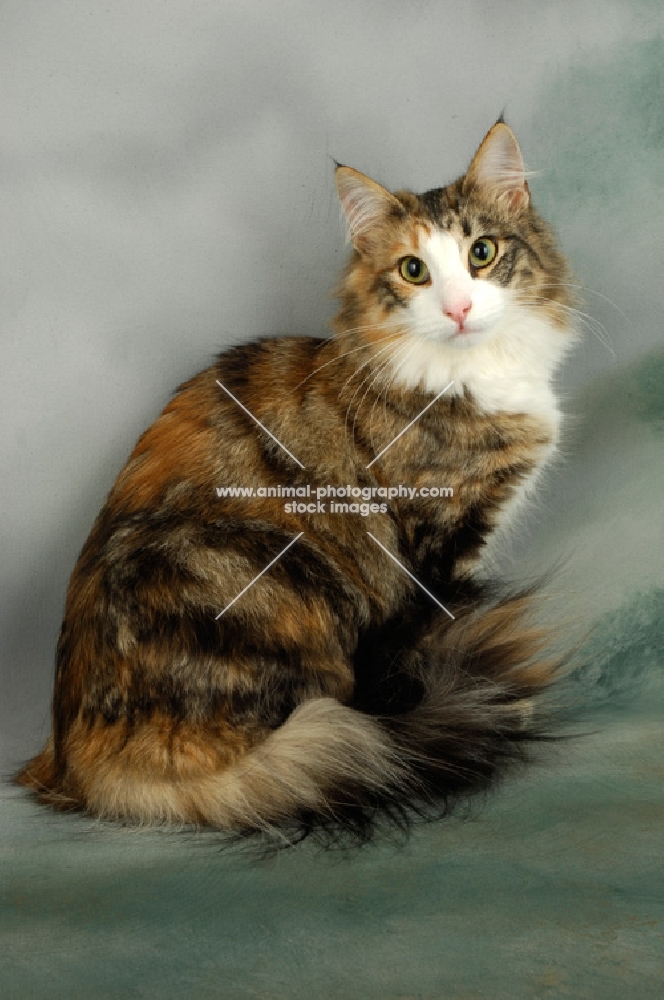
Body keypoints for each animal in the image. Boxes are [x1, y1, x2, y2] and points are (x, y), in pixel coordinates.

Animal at [15, 123, 576, 844]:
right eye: (413, 270)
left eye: (482, 253)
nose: (458, 309)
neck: (467, 377)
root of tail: (81, 764)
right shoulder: (436, 546)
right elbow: (433, 632)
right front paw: (497, 703)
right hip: (274, 569)